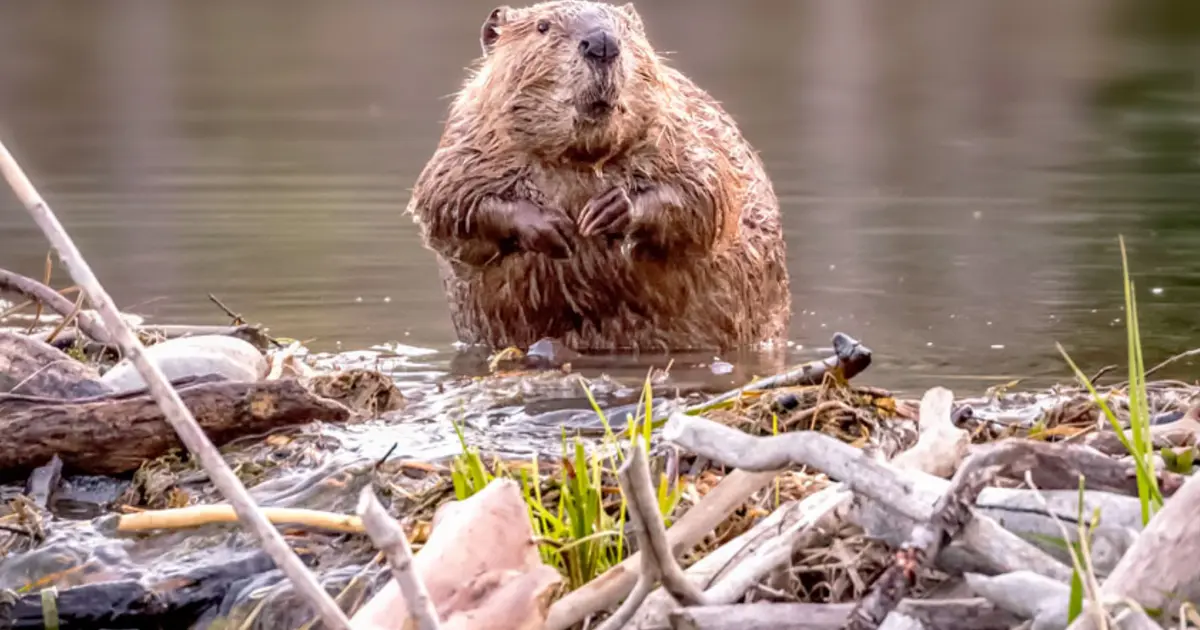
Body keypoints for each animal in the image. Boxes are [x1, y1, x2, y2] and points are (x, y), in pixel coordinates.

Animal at [408, 0, 792, 350]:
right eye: (543, 26)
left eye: (626, 27)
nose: (602, 42)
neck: (580, 157)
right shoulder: (468, 140)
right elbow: (446, 203)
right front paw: (552, 226)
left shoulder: (682, 128)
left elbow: (707, 193)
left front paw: (608, 211)